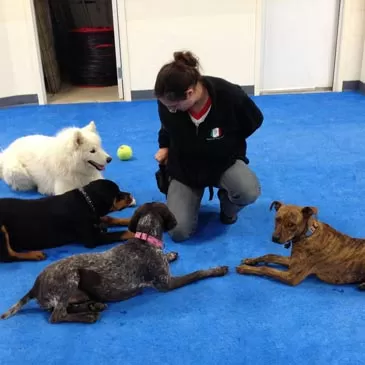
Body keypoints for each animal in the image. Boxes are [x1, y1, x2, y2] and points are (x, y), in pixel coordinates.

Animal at [0, 178, 135, 260]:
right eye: (117, 194)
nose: (130, 195)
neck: (87, 202)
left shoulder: (96, 218)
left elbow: (108, 218)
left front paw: (129, 220)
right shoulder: (93, 238)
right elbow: (121, 233)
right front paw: (134, 233)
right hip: (2, 229)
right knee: (8, 256)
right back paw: (34, 254)